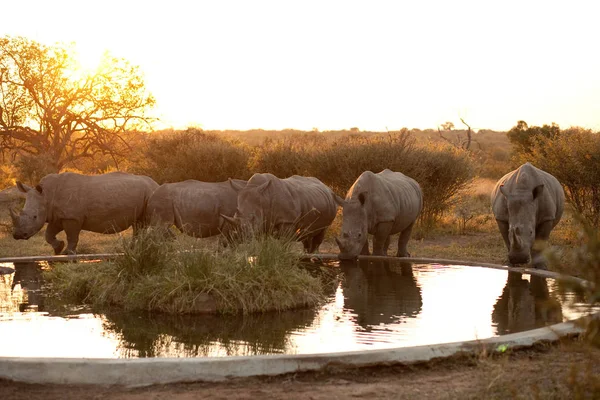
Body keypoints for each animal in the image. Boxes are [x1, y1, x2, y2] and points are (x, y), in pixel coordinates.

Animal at [10, 171, 159, 253]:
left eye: (35, 217)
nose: (18, 235)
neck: (46, 196)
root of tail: (156, 183)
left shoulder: (72, 217)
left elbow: (72, 237)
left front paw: (67, 253)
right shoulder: (57, 216)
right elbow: (49, 234)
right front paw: (58, 248)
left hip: (150, 193)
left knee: (143, 223)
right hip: (144, 194)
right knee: (138, 224)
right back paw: (133, 249)